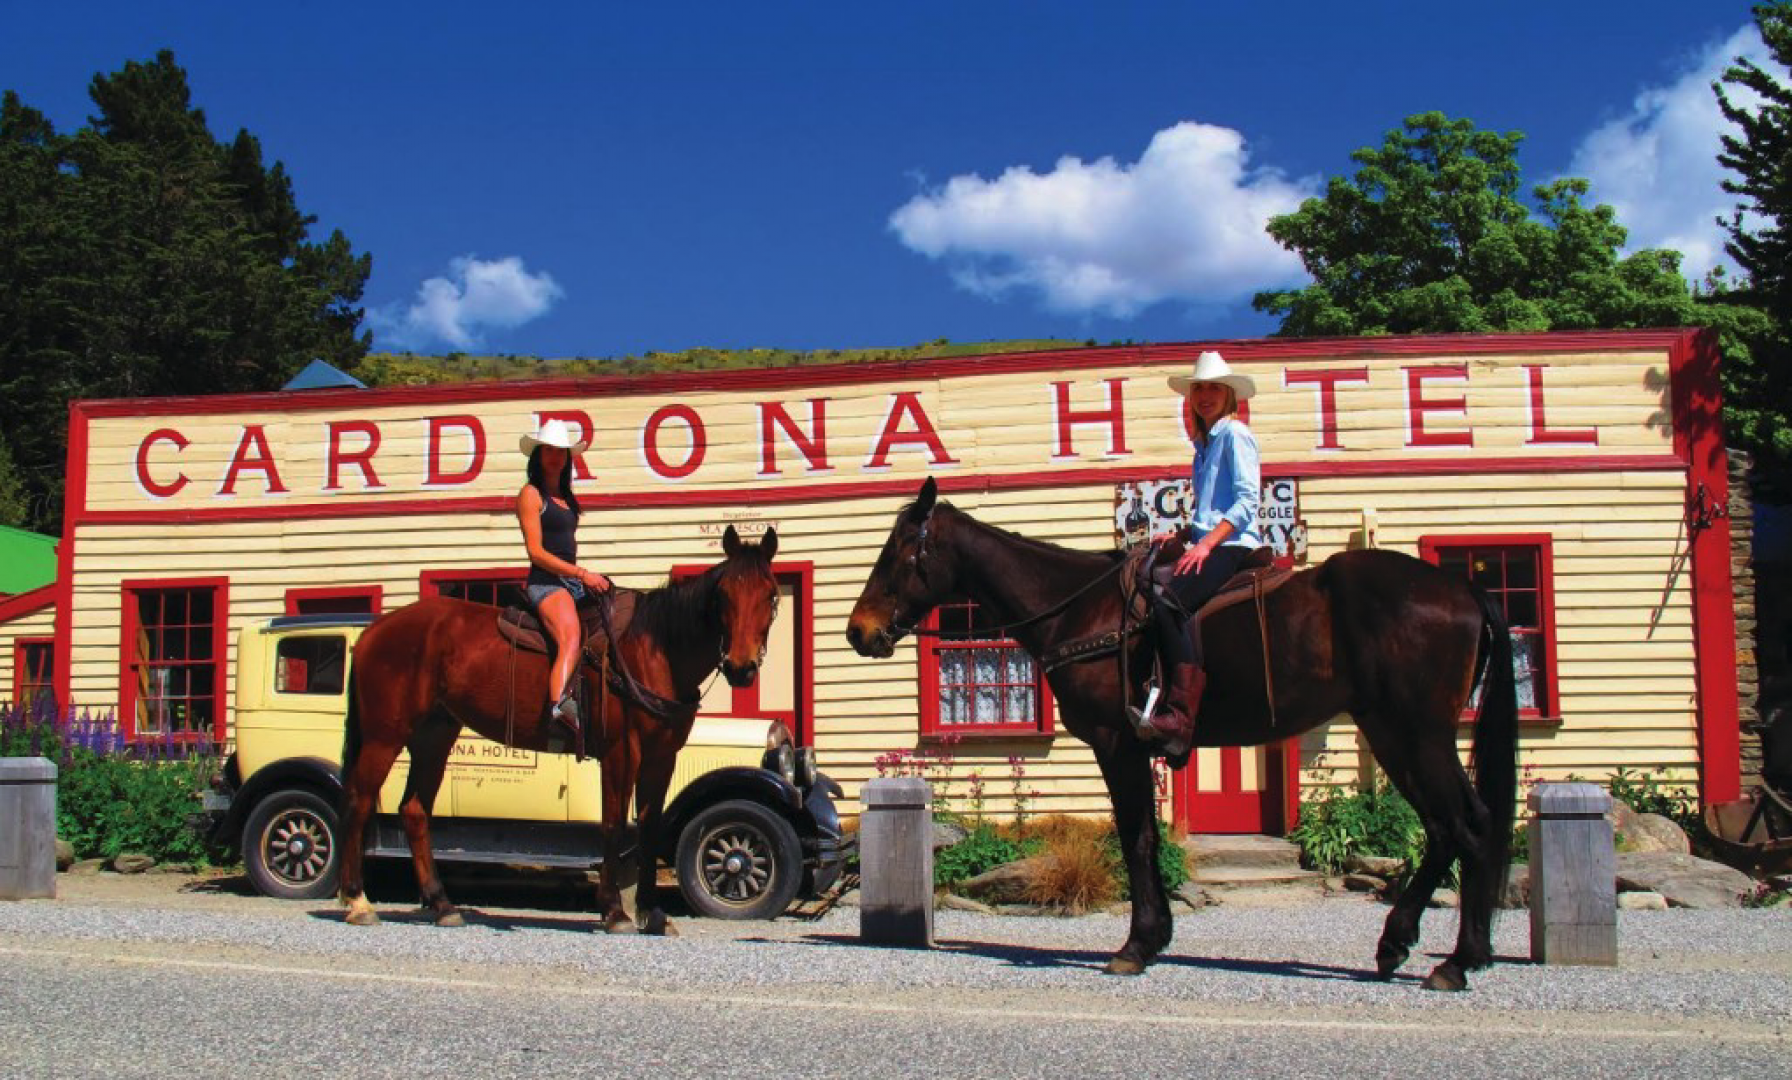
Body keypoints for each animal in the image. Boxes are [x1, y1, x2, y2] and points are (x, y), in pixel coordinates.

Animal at [338, 522, 781, 931]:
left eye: (771, 596)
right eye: (722, 596)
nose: (741, 667)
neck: (653, 651)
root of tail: (373, 631)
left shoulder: (662, 758)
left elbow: (649, 827)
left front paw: (651, 913)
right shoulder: (621, 752)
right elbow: (614, 825)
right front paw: (614, 910)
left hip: (433, 735)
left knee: (414, 810)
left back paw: (441, 904)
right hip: (384, 735)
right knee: (359, 800)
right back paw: (358, 901)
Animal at [845, 476, 1519, 995]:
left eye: (898, 552)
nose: (859, 630)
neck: (1078, 611)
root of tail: (1462, 589)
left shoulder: (1117, 744)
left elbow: (1136, 838)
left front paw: (1138, 944)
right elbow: (1142, 836)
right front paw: (1153, 937)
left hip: (1420, 734)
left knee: (1469, 825)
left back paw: (1457, 961)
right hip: (1393, 733)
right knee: (1444, 829)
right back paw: (1404, 944)